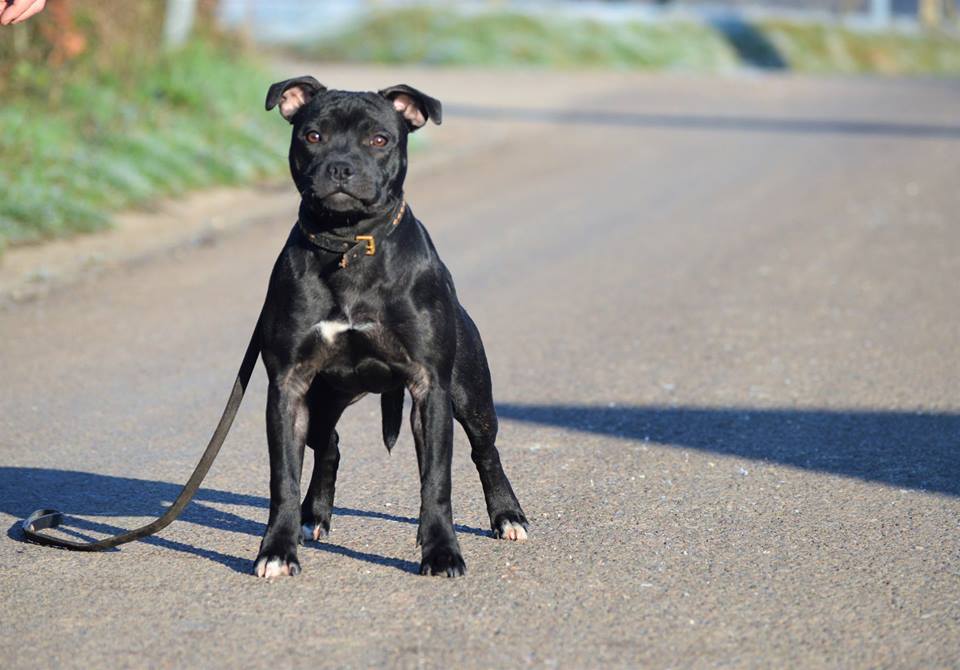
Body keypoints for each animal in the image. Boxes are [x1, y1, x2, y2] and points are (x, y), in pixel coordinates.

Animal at [251, 79, 528, 580]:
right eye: (313, 136)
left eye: (379, 139)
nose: (340, 167)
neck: (349, 247)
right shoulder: (287, 388)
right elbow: (283, 478)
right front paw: (278, 549)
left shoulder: (429, 389)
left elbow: (436, 480)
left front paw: (441, 552)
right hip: (323, 399)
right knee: (329, 445)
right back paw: (312, 516)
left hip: (471, 396)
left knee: (485, 451)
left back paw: (507, 515)